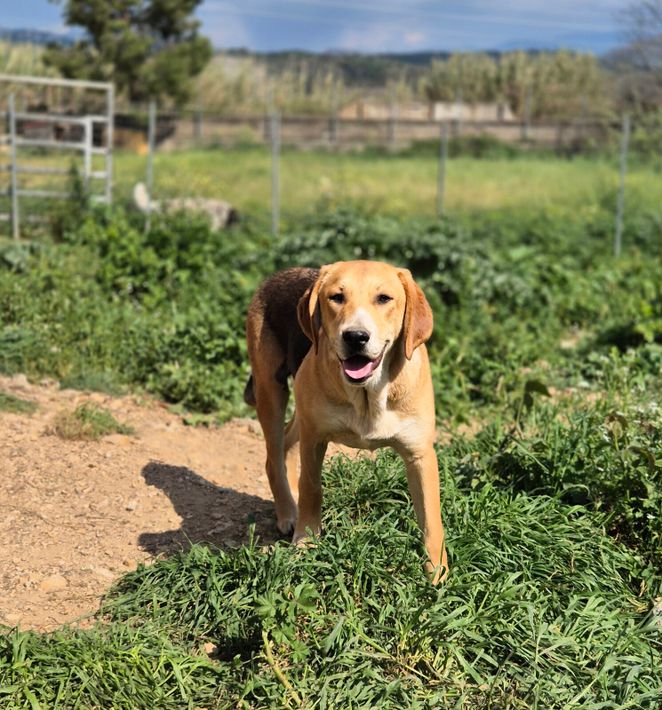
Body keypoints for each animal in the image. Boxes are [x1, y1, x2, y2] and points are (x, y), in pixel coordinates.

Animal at [245, 261, 448, 582]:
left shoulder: (421, 455)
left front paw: (437, 574)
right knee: (273, 458)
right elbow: (311, 489)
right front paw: (306, 542)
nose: (355, 337)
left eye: (384, 298)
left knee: (287, 442)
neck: (368, 395)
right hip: (272, 391)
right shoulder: (315, 439)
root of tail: (277, 275)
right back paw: (288, 513)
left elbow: (431, 519)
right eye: (336, 297)